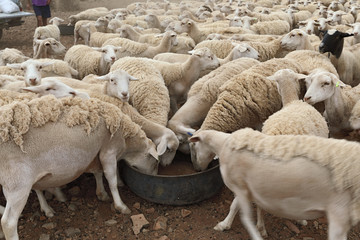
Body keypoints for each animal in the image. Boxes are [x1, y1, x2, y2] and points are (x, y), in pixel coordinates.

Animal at [0, 94, 159, 239]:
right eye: (156, 162)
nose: (155, 176)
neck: (127, 139)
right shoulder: (109, 150)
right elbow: (111, 180)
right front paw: (121, 206)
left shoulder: (96, 154)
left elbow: (97, 173)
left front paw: (101, 193)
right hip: (18, 183)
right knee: (8, 223)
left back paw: (47, 208)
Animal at [188, 127, 360, 240]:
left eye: (194, 146)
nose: (197, 169)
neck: (223, 144)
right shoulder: (243, 187)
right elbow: (234, 206)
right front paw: (225, 224)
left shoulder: (240, 187)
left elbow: (245, 217)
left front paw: (256, 233)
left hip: (340, 212)